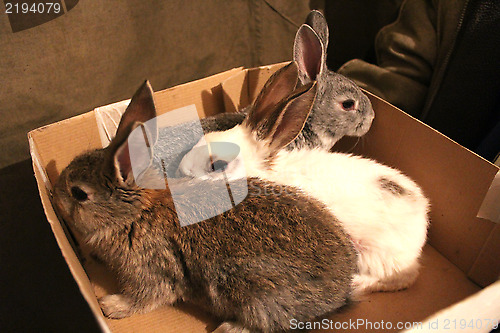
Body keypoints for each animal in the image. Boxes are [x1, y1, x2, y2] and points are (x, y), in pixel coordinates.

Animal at [52, 80, 360, 332]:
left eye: (79, 194)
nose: (54, 195)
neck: (136, 213)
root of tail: (341, 291)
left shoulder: (152, 271)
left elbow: (145, 297)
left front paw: (110, 305)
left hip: (255, 295)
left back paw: (227, 328)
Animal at [178, 62, 428, 294]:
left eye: (218, 165)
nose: (182, 171)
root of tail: (423, 218)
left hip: (375, 254)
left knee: (401, 277)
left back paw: (357, 284)